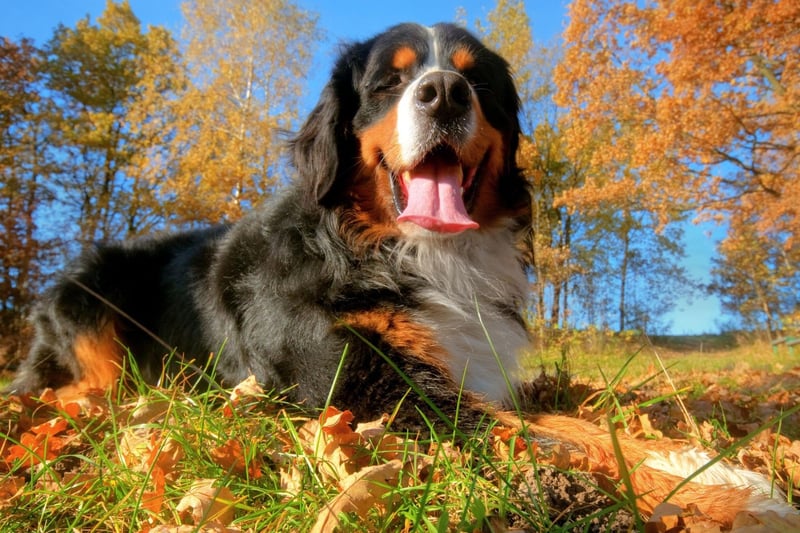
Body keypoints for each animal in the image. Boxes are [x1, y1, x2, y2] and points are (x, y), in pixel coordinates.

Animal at [6, 21, 792, 524]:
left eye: (477, 80)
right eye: (391, 80)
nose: (444, 92)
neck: (413, 251)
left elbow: (574, 421)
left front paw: (709, 463)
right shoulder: (367, 389)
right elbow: (558, 436)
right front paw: (730, 492)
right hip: (90, 303)